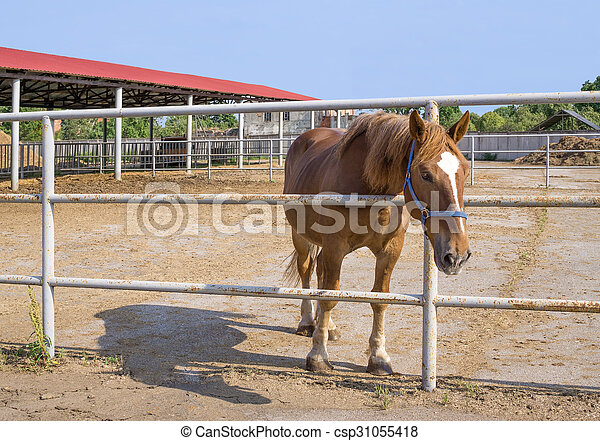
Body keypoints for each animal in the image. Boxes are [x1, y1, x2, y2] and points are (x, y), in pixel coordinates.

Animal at [284, 110, 472, 374]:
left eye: (465, 171)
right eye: (425, 174)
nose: (457, 255)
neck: (368, 187)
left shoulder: (390, 250)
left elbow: (380, 299)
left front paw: (379, 357)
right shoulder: (334, 247)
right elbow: (330, 296)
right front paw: (318, 355)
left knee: (319, 272)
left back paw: (329, 327)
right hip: (300, 236)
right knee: (306, 270)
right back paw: (308, 322)